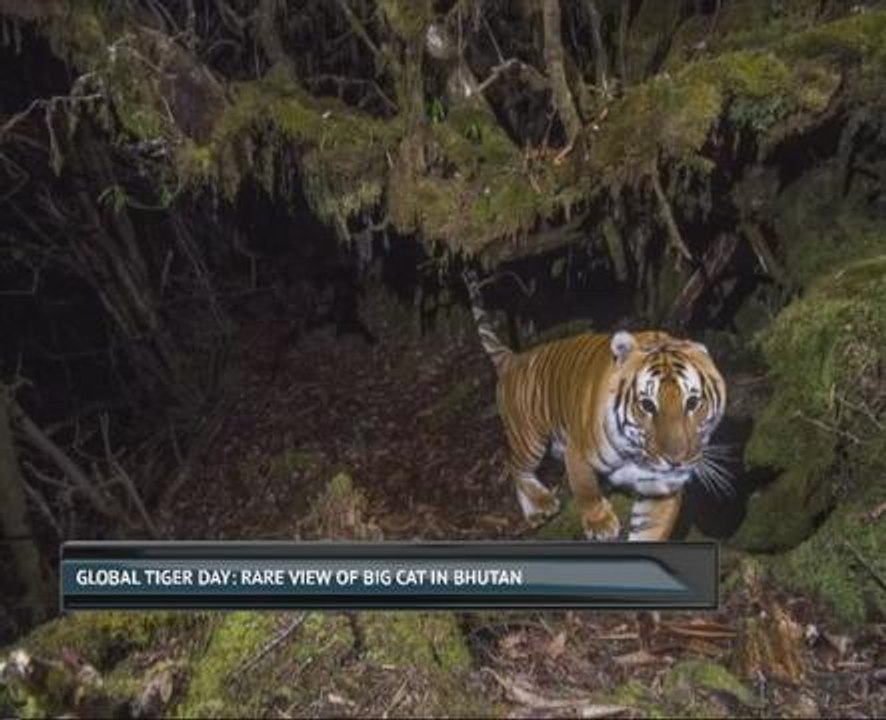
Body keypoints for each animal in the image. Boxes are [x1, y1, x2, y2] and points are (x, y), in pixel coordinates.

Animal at [464, 270, 727, 541]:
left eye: (693, 402)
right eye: (647, 405)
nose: (676, 460)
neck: (636, 453)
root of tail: (514, 357)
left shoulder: (661, 487)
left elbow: (652, 530)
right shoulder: (578, 452)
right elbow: (585, 489)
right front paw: (600, 523)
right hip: (529, 439)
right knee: (515, 467)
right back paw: (539, 506)